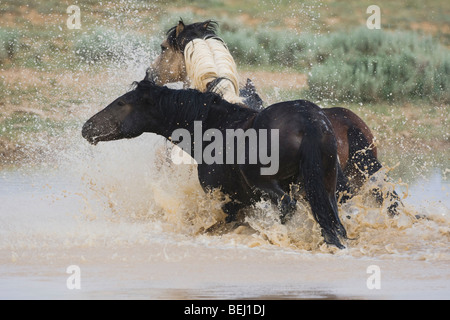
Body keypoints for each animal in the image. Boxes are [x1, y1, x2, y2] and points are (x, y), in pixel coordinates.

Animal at [81, 79, 348, 248]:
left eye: (121, 103)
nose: (87, 127)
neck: (216, 128)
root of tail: (311, 120)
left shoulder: (228, 199)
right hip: (326, 186)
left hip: (267, 185)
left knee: (287, 207)